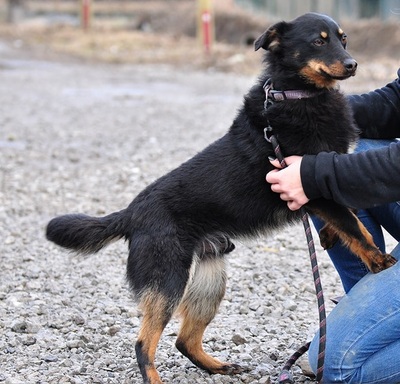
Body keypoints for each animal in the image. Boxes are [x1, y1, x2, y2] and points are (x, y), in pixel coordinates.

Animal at [45, 12, 396, 384]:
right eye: (318, 41)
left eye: (343, 40)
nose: (353, 64)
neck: (296, 95)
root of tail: (131, 212)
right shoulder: (309, 182)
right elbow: (354, 225)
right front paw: (378, 260)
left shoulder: (322, 179)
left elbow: (350, 210)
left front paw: (332, 235)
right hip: (169, 280)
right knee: (143, 344)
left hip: (209, 279)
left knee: (184, 340)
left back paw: (217, 366)